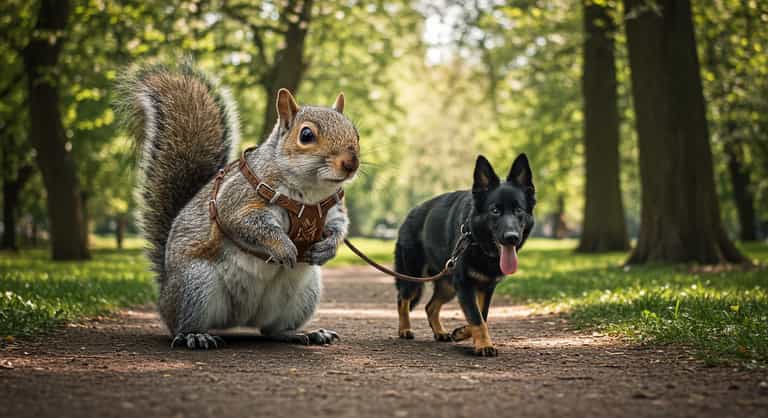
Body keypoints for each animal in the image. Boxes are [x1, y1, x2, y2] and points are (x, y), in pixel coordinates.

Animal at [116, 61, 360, 349]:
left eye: (356, 133)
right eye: (306, 134)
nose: (351, 163)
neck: (310, 194)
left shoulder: (332, 211)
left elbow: (339, 228)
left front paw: (327, 248)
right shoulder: (238, 201)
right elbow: (251, 225)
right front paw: (284, 247)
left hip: (303, 295)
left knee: (272, 330)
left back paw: (302, 333)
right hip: (195, 285)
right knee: (181, 324)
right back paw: (194, 335)